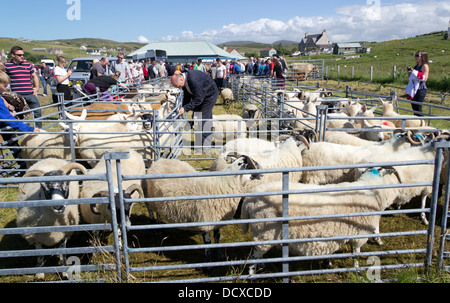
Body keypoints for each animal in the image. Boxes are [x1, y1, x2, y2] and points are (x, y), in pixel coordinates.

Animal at [241, 166, 406, 276]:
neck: (370, 188)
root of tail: (249, 199)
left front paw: (328, 264)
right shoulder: (359, 233)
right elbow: (356, 254)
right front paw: (357, 271)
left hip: (263, 233)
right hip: (264, 231)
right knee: (253, 256)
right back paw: (252, 275)